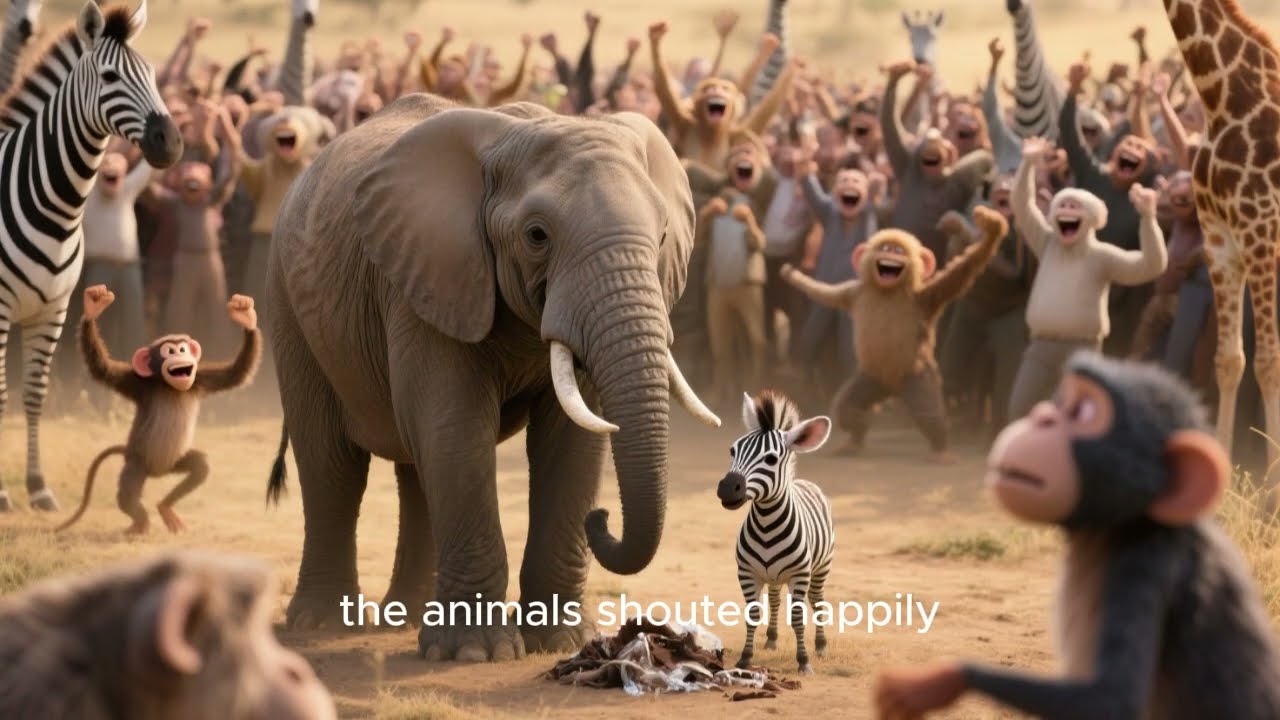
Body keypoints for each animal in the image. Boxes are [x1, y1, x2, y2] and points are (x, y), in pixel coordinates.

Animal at [266, 93, 721, 661]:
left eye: (661, 236)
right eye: (536, 236)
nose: (602, 519)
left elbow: (570, 444)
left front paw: (559, 641)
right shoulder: (431, 277)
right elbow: (456, 431)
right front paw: (476, 653)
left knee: (416, 469)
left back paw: (406, 618)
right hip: (289, 306)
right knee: (333, 466)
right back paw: (322, 622)